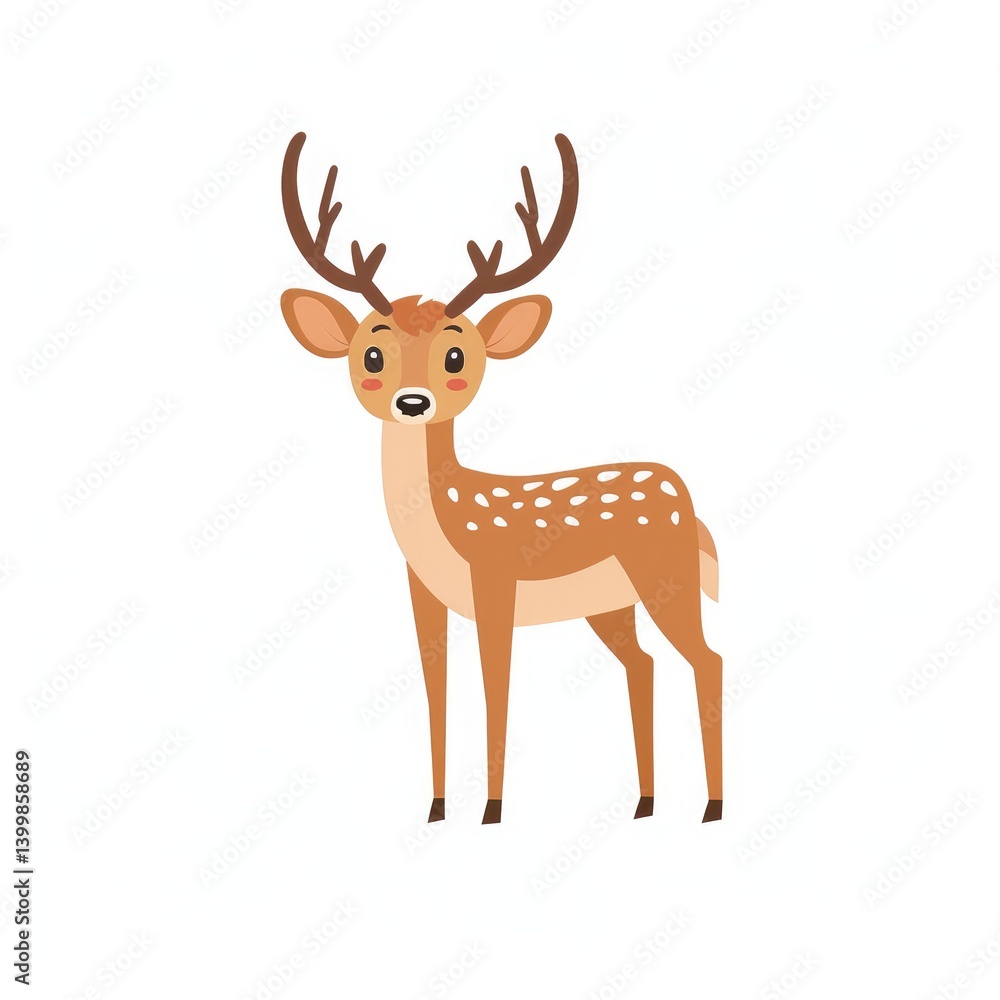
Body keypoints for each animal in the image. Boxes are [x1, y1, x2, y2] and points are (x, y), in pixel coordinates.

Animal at [279, 131, 723, 826]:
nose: (412, 401)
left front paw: (491, 810)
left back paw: (712, 807)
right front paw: (436, 808)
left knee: (709, 658)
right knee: (646, 663)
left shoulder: (497, 579)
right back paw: (646, 803)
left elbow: (496, 685)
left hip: (664, 574)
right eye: (371, 355)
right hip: (612, 604)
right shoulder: (423, 593)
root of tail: (688, 497)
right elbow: (435, 689)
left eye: (457, 355)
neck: (445, 525)